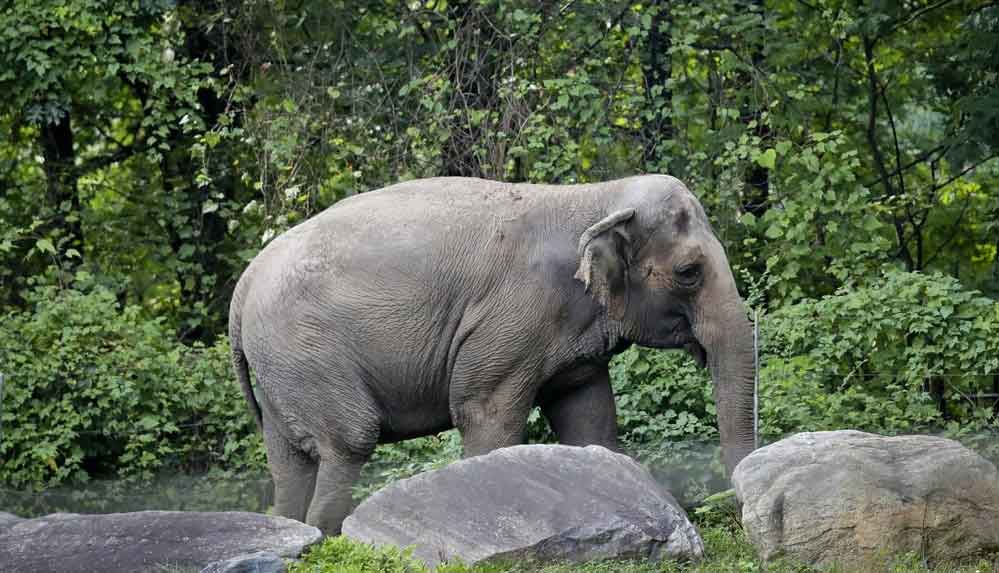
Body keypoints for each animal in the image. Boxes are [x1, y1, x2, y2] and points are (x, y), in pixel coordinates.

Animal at [229, 173, 756, 532]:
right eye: (689, 272)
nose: (734, 512)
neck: (595, 196)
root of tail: (244, 284)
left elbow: (590, 420)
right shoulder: (512, 318)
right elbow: (485, 413)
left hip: (281, 367)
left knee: (288, 462)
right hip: (306, 351)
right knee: (348, 441)